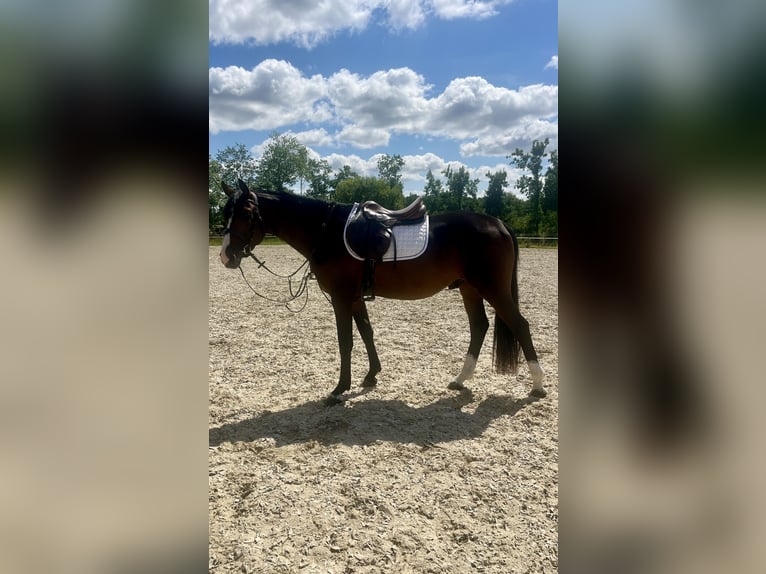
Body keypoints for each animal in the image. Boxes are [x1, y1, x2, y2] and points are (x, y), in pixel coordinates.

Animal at [219, 179, 545, 405]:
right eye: (225, 212)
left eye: (246, 212)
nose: (226, 256)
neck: (327, 231)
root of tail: (498, 223)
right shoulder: (354, 298)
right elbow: (366, 333)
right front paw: (371, 375)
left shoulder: (340, 298)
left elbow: (346, 342)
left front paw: (339, 390)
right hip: (470, 289)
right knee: (480, 326)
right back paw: (460, 379)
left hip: (492, 289)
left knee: (519, 325)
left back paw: (538, 385)